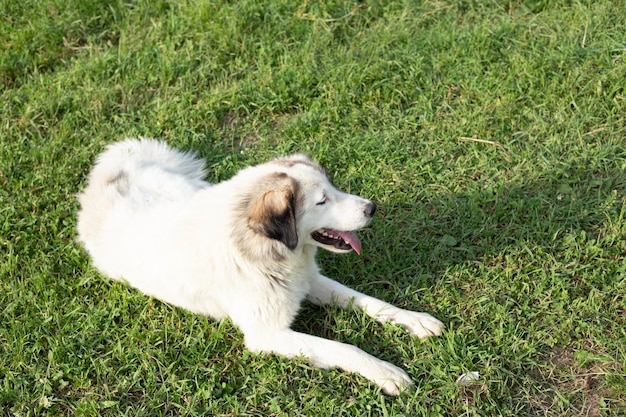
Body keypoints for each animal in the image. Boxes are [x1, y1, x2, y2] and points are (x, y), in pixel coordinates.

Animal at [75, 139, 442, 394]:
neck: (264, 250)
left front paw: (416, 320)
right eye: (322, 200)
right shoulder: (268, 335)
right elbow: (344, 347)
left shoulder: (310, 281)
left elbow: (371, 302)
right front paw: (384, 371)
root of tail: (109, 173)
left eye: (334, 188)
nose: (371, 208)